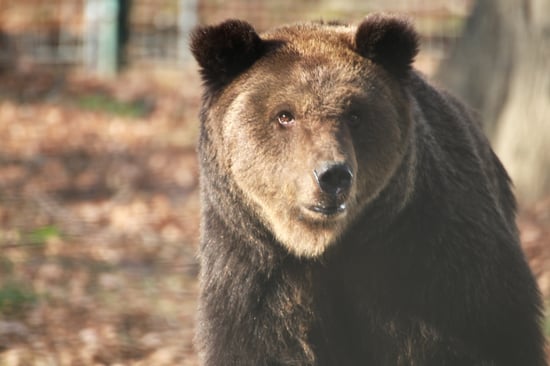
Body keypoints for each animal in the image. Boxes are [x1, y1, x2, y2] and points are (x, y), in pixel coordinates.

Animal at [190, 13, 548, 366]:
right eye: (284, 115)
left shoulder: (435, 257)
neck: (325, 248)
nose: (332, 175)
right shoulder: (255, 271)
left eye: (354, 114)